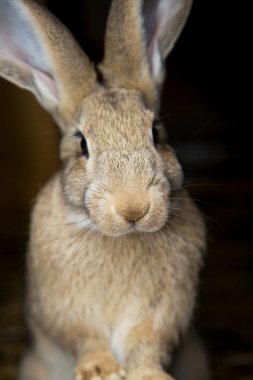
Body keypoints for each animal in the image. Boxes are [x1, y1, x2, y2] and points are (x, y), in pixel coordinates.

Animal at [0, 0, 209, 380]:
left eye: (156, 133)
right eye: (82, 144)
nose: (133, 208)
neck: (121, 237)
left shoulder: (163, 311)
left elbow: (147, 343)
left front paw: (148, 374)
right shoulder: (67, 309)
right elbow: (86, 337)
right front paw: (101, 370)